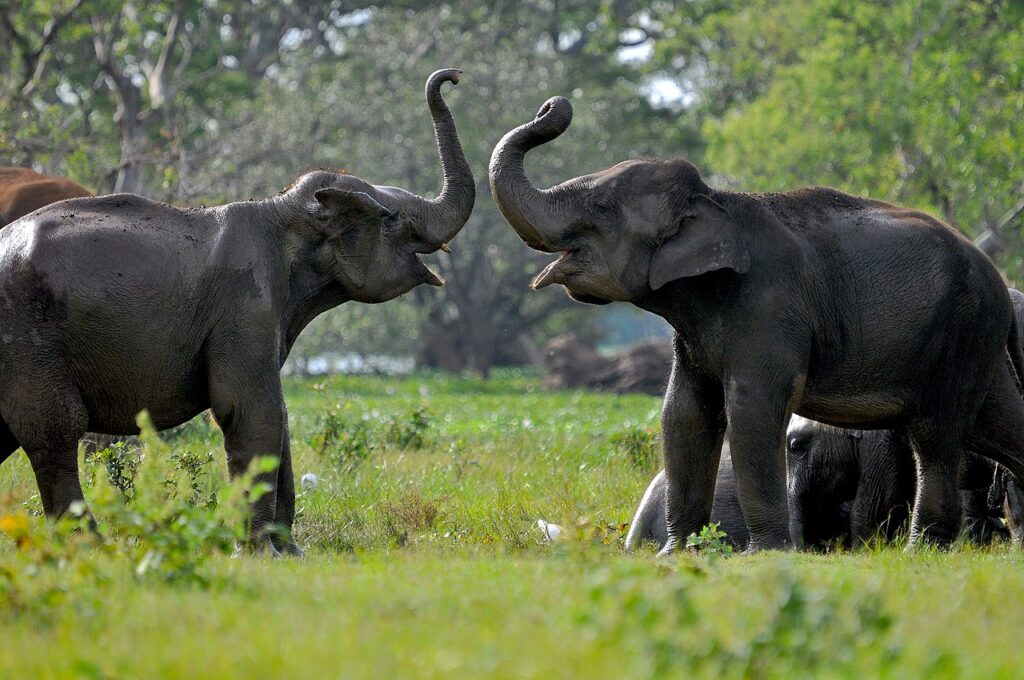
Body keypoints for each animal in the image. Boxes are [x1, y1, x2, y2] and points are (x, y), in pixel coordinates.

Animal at [0, 67, 473, 553]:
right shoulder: (244, 305)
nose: (453, 77)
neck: (283, 212)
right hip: (29, 341)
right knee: (54, 428)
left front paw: (291, 552)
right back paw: (92, 546)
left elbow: (278, 415)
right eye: (393, 219)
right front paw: (262, 552)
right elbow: (250, 409)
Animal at [487, 95, 1024, 553]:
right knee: (993, 421)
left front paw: (760, 555)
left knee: (933, 434)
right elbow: (684, 413)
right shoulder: (696, 328)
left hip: (960, 334)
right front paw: (675, 555)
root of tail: (999, 280)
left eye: (600, 207)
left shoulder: (768, 310)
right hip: (978, 343)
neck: (716, 201)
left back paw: (920, 550)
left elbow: (750, 408)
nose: (553, 105)